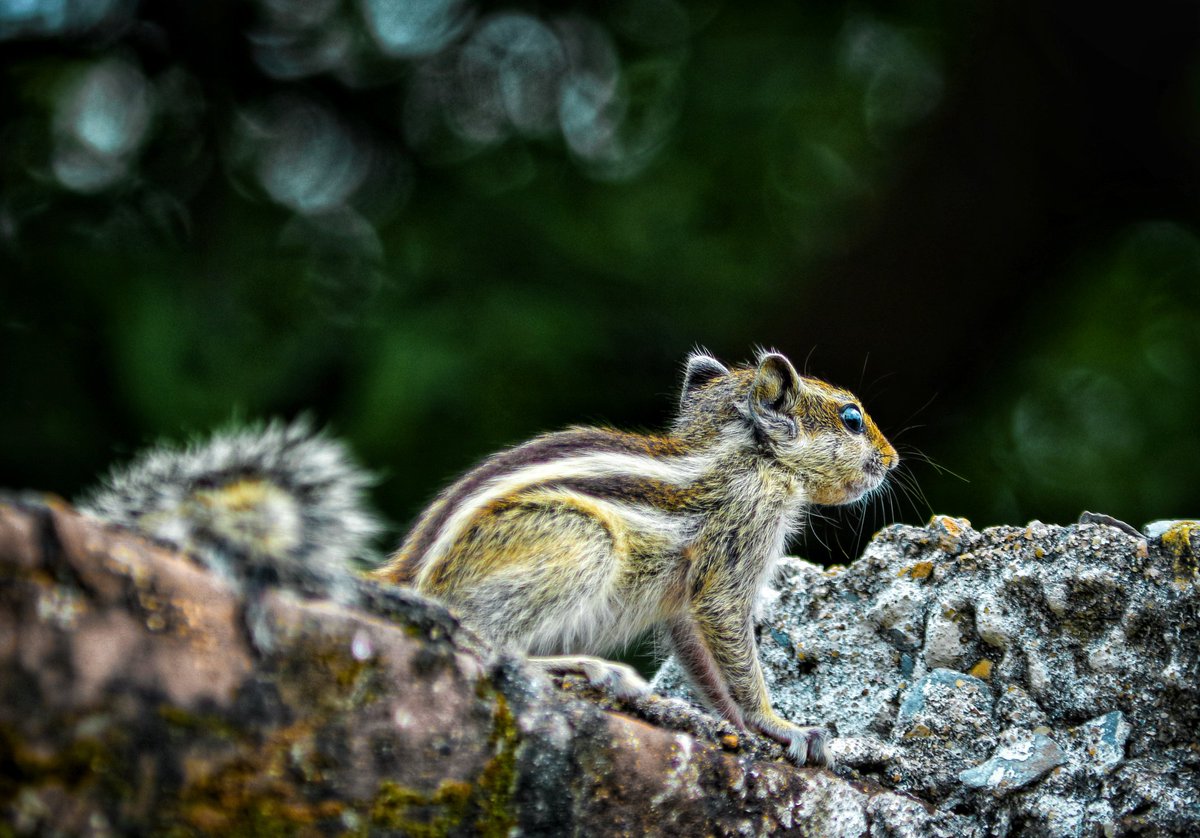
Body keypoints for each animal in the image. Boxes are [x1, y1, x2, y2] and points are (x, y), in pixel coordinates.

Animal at [373, 349, 899, 766]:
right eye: (852, 418)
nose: (892, 459)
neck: (750, 455)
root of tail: (406, 577)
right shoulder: (738, 544)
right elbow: (732, 639)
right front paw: (779, 725)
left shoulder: (685, 605)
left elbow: (702, 662)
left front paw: (737, 727)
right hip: (587, 541)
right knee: (485, 639)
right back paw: (590, 668)